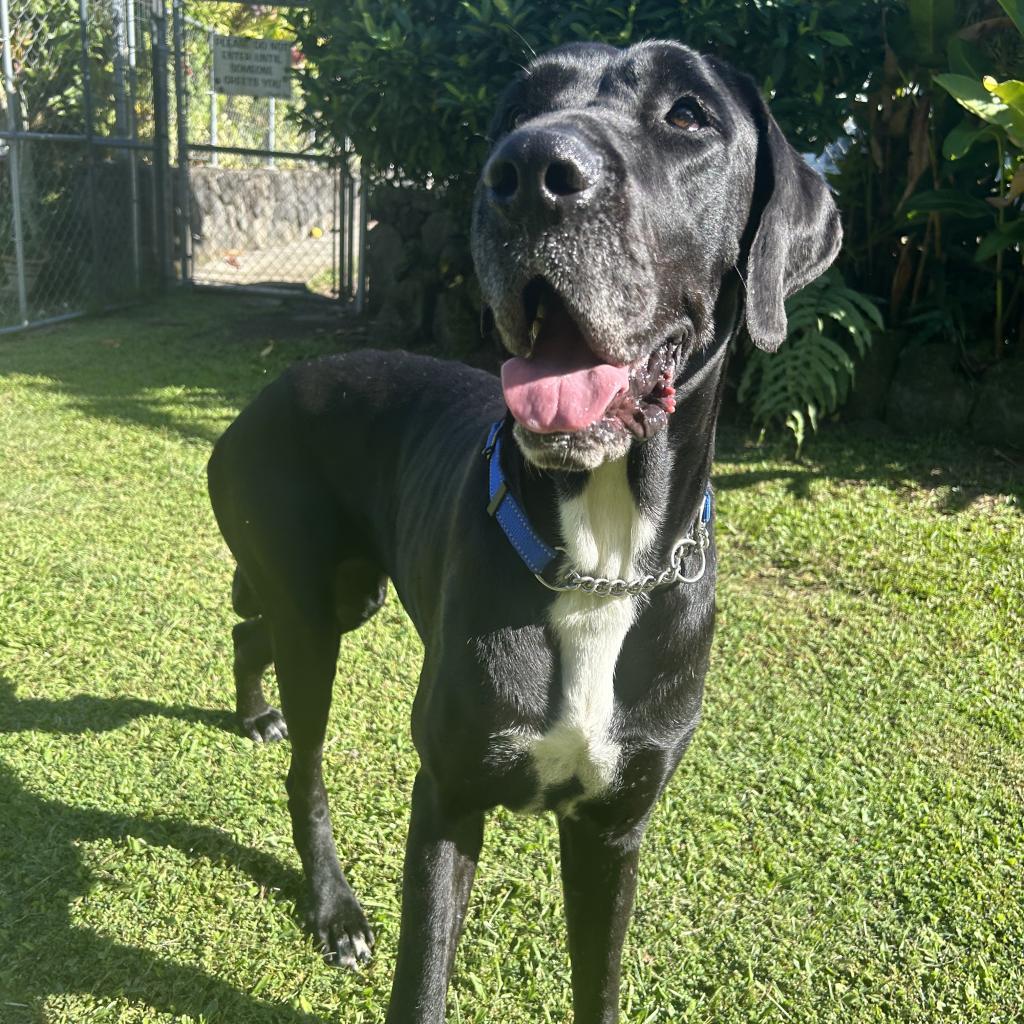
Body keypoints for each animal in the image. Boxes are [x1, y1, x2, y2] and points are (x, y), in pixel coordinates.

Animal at [207, 36, 839, 1019]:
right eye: (516, 111)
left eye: (688, 114)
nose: (531, 173)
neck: (602, 555)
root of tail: (255, 404)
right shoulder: (449, 796)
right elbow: (421, 983)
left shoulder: (614, 828)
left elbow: (598, 985)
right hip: (317, 610)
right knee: (302, 759)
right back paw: (334, 904)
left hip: (342, 596)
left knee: (252, 630)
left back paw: (252, 711)